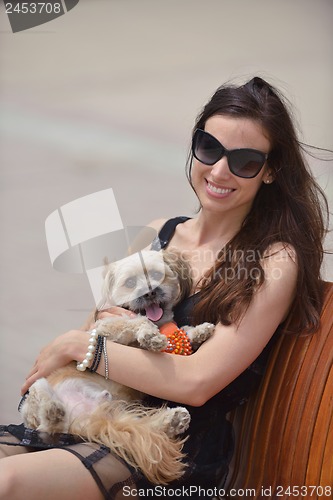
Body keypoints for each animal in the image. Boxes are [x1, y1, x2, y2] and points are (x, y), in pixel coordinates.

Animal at [20, 250, 214, 484]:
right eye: (130, 282)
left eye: (157, 275)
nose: (150, 292)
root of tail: (84, 418)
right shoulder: (106, 328)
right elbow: (138, 322)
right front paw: (151, 336)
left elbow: (182, 333)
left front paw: (199, 331)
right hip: (35, 395)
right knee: (48, 423)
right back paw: (53, 411)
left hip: (119, 411)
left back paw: (173, 420)